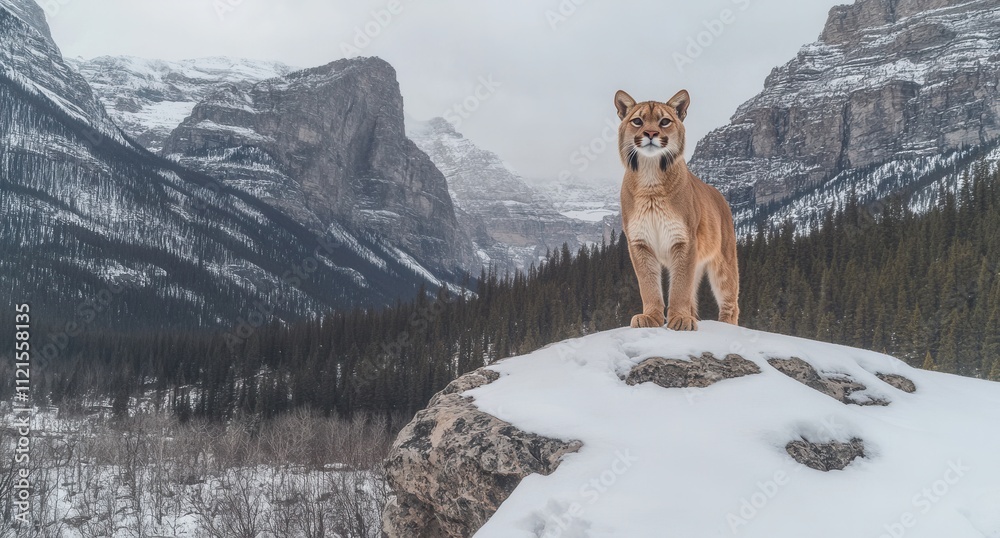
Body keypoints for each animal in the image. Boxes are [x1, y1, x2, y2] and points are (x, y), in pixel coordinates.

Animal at [615, 89, 739, 331]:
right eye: (638, 121)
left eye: (664, 121)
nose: (651, 133)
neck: (650, 178)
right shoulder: (639, 242)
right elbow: (649, 285)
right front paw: (651, 317)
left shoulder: (684, 240)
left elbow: (680, 287)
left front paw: (680, 319)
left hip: (724, 260)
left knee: (730, 302)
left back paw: (727, 327)